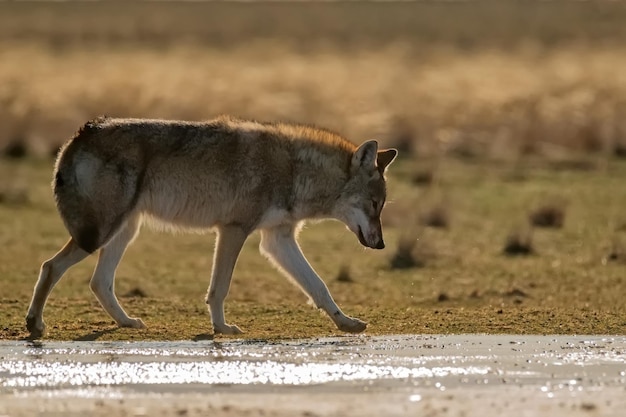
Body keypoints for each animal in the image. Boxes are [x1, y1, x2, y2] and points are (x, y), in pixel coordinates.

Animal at [25, 115, 394, 336]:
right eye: (374, 205)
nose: (381, 245)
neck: (295, 171)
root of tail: (80, 134)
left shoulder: (277, 240)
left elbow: (319, 287)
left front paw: (346, 322)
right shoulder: (233, 230)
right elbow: (220, 288)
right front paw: (222, 328)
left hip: (124, 231)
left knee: (99, 282)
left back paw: (127, 322)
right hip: (101, 233)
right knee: (50, 266)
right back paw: (35, 324)